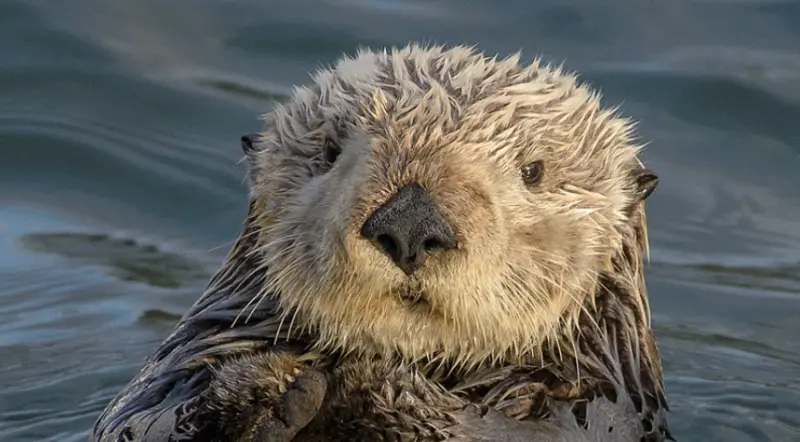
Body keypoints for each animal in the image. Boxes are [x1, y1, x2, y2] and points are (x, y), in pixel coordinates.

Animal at [90, 42, 672, 442]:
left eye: (534, 171)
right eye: (328, 151)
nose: (410, 224)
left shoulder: (595, 405)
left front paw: (368, 385)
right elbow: (139, 421)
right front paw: (269, 382)